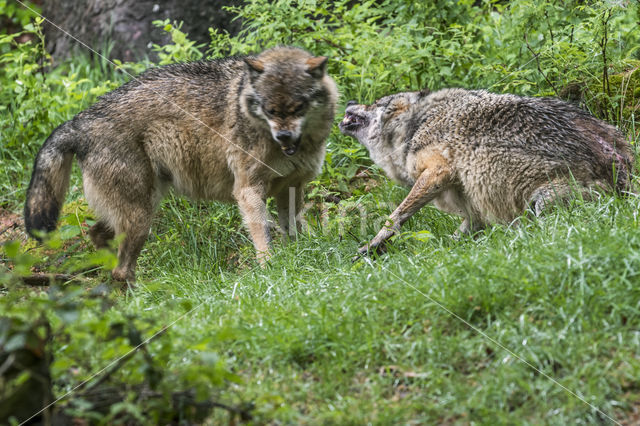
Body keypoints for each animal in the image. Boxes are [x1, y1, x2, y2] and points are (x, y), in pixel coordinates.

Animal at [23, 46, 340, 282]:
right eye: (269, 110)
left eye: (298, 107)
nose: (283, 136)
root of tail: (79, 120)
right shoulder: (248, 190)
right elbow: (263, 235)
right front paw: (270, 268)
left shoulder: (292, 187)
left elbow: (294, 230)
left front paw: (300, 256)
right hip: (142, 217)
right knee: (121, 270)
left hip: (141, 207)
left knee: (98, 236)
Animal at [340, 87, 636, 256]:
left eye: (374, 103)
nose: (349, 101)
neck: (417, 124)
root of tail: (619, 163)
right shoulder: (470, 204)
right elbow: (459, 233)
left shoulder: (437, 171)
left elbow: (395, 216)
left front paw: (372, 245)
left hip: (542, 201)